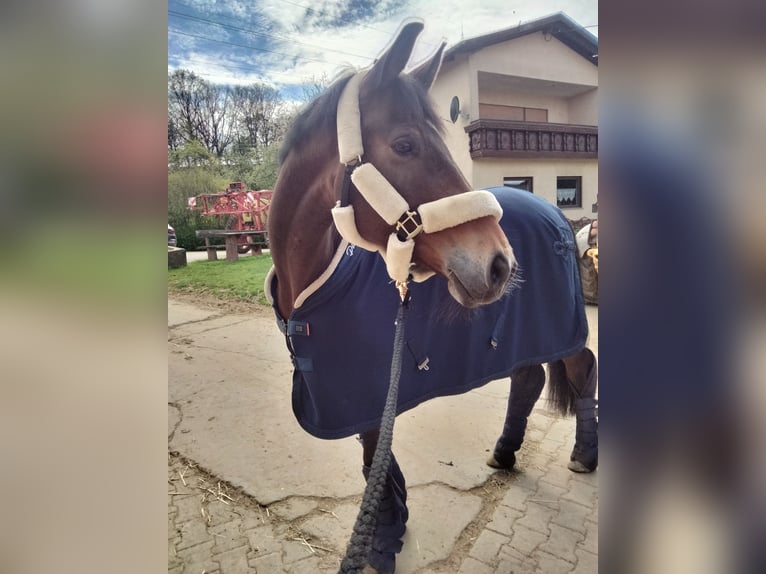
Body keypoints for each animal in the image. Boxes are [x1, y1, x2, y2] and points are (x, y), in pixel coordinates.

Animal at [266, 21, 598, 574]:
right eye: (404, 144)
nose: (499, 264)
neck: (315, 284)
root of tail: (555, 212)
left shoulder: (369, 389)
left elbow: (372, 452)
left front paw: (382, 536)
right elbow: (374, 455)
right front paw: (391, 516)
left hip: (563, 325)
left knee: (580, 367)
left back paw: (585, 455)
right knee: (528, 377)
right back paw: (505, 450)